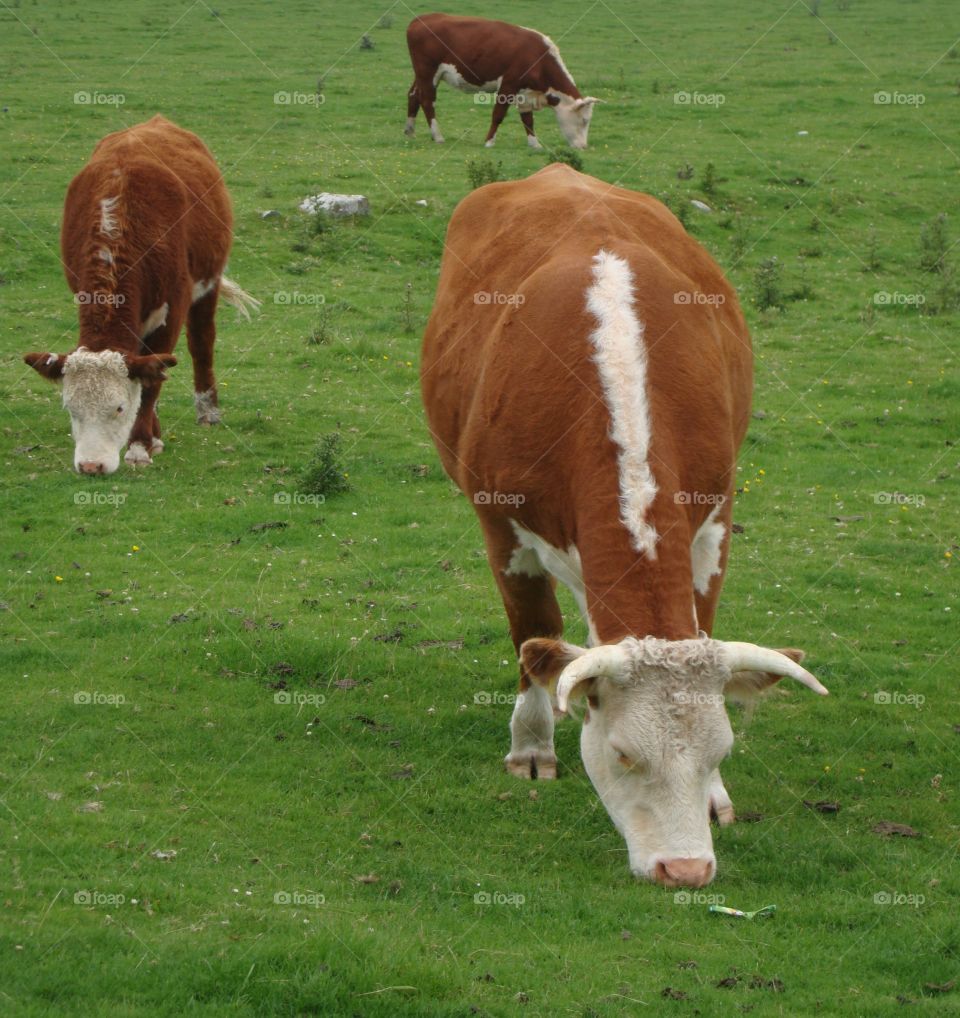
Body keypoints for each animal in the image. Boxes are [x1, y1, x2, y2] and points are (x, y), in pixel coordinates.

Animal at [24, 114, 259, 475]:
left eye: (119, 407)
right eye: (71, 409)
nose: (91, 466)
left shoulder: (173, 307)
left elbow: (152, 381)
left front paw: (139, 446)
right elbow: (148, 372)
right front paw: (152, 438)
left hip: (209, 284)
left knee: (201, 343)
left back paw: (207, 411)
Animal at [405, 13, 600, 149]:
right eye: (584, 120)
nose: (584, 147)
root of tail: (420, 19)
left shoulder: (525, 92)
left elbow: (528, 119)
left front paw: (534, 144)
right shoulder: (508, 85)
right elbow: (498, 114)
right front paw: (489, 142)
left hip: (422, 75)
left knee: (413, 95)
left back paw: (410, 131)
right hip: (428, 72)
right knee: (427, 100)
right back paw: (437, 136)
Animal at [421, 164, 829, 888]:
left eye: (720, 751)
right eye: (622, 754)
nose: (687, 870)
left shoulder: (714, 518)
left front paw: (717, 796)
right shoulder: (502, 525)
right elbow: (534, 635)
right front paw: (532, 745)